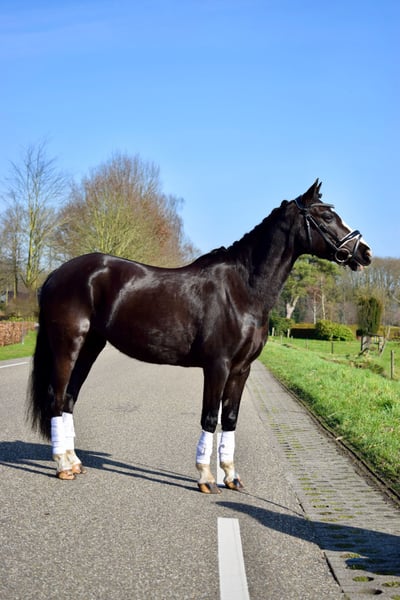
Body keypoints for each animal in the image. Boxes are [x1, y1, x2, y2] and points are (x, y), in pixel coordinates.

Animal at [28, 180, 371, 492]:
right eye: (326, 215)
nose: (365, 253)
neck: (242, 290)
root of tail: (57, 275)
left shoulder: (241, 369)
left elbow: (230, 418)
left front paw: (231, 476)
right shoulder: (217, 366)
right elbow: (209, 418)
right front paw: (206, 478)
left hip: (90, 347)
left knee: (69, 398)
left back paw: (74, 462)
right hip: (68, 346)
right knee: (57, 398)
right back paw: (63, 466)